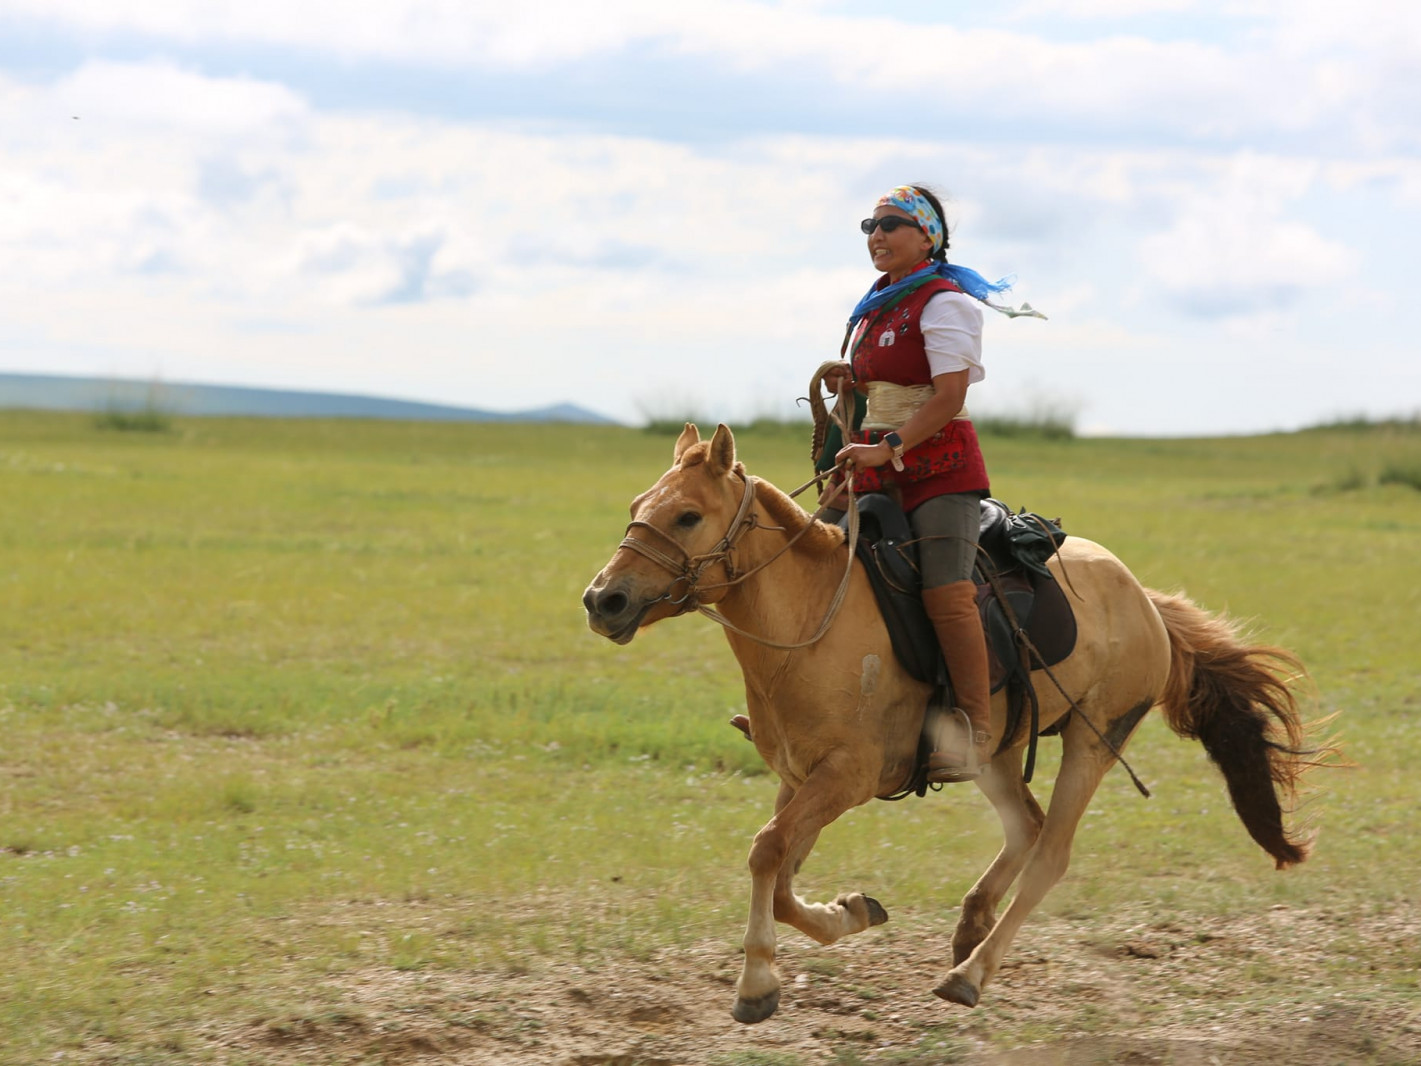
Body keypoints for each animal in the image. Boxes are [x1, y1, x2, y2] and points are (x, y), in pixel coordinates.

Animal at [579, 423, 1318, 1029]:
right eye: (636, 509)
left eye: (687, 516)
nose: (602, 599)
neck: (810, 623)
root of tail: (1145, 600)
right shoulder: (799, 778)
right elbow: (781, 869)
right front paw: (849, 912)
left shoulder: (845, 777)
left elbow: (767, 853)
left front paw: (757, 982)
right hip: (991, 751)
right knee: (1025, 826)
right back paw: (970, 926)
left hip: (1095, 739)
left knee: (1051, 852)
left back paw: (971, 973)